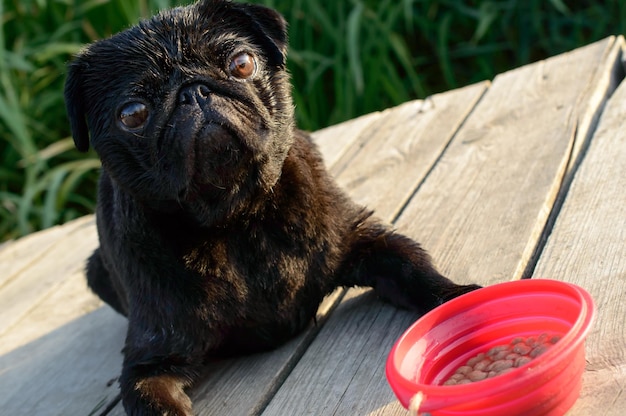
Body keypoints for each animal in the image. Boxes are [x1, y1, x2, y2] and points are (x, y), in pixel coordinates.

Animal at [64, 0, 478, 412]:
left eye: (242, 64)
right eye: (132, 114)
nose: (193, 91)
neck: (239, 219)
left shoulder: (362, 240)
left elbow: (416, 270)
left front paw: (462, 301)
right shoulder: (152, 360)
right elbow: (156, 401)